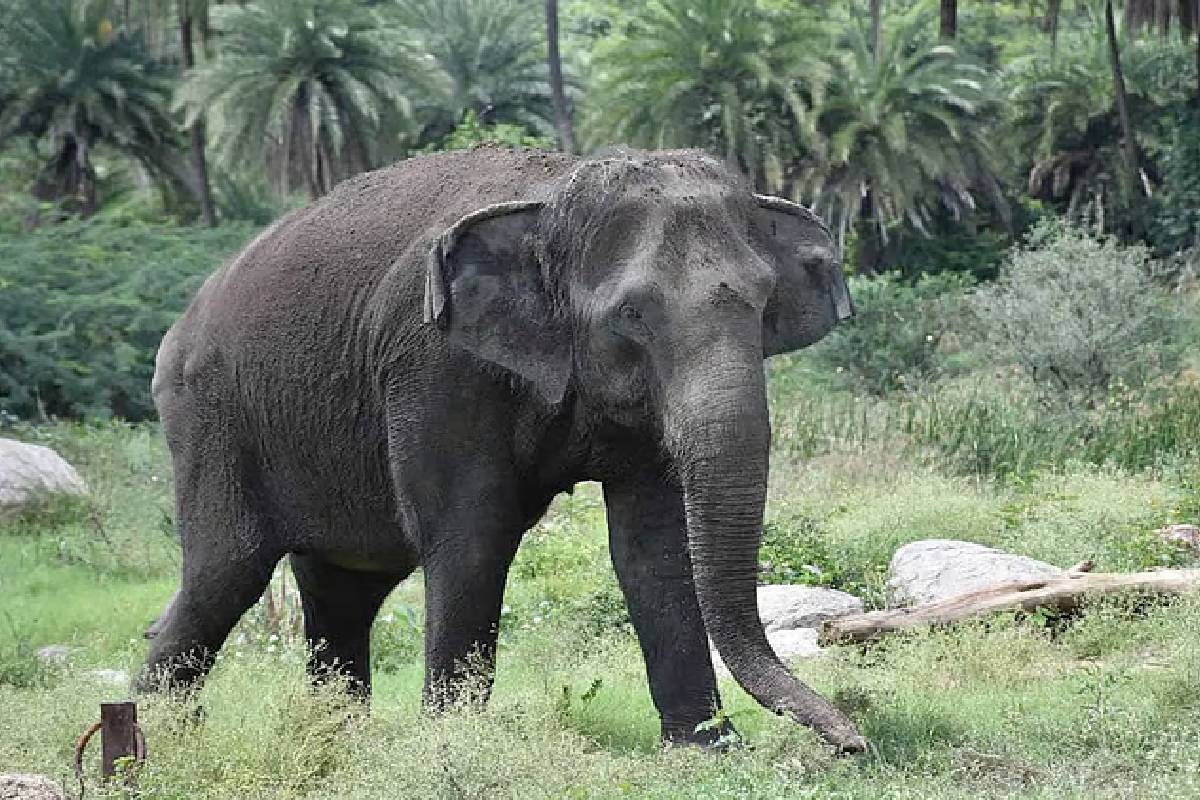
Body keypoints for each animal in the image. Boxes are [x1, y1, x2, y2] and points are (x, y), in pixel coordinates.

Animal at [139, 145, 863, 752]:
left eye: (764, 304)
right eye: (631, 315)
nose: (851, 741)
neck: (552, 195)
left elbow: (652, 546)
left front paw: (704, 751)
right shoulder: (436, 364)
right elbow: (474, 531)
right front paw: (453, 747)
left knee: (343, 590)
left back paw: (335, 744)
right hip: (209, 421)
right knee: (224, 573)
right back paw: (161, 742)